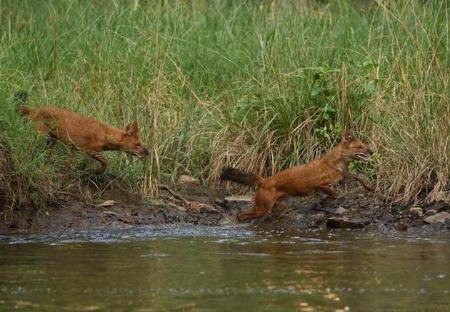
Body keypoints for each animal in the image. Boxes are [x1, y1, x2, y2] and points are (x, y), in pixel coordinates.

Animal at [14, 90, 149, 174]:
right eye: (138, 144)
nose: (148, 152)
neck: (106, 134)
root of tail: (33, 109)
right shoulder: (88, 149)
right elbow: (106, 162)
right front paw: (96, 172)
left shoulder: (74, 148)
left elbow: (70, 162)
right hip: (41, 135)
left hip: (51, 139)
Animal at [221, 130, 372, 223]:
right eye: (359, 147)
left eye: (364, 145)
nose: (371, 151)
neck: (336, 163)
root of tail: (264, 180)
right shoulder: (319, 184)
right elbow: (333, 192)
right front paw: (327, 199)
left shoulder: (342, 176)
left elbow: (357, 176)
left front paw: (368, 186)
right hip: (263, 208)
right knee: (242, 215)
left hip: (278, 205)